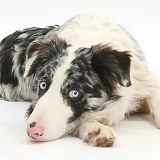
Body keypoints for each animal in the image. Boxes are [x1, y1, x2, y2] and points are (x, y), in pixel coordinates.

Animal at [0, 14, 160, 147]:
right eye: (43, 84)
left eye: (75, 93)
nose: (33, 130)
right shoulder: (34, 105)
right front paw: (97, 129)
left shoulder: (141, 80)